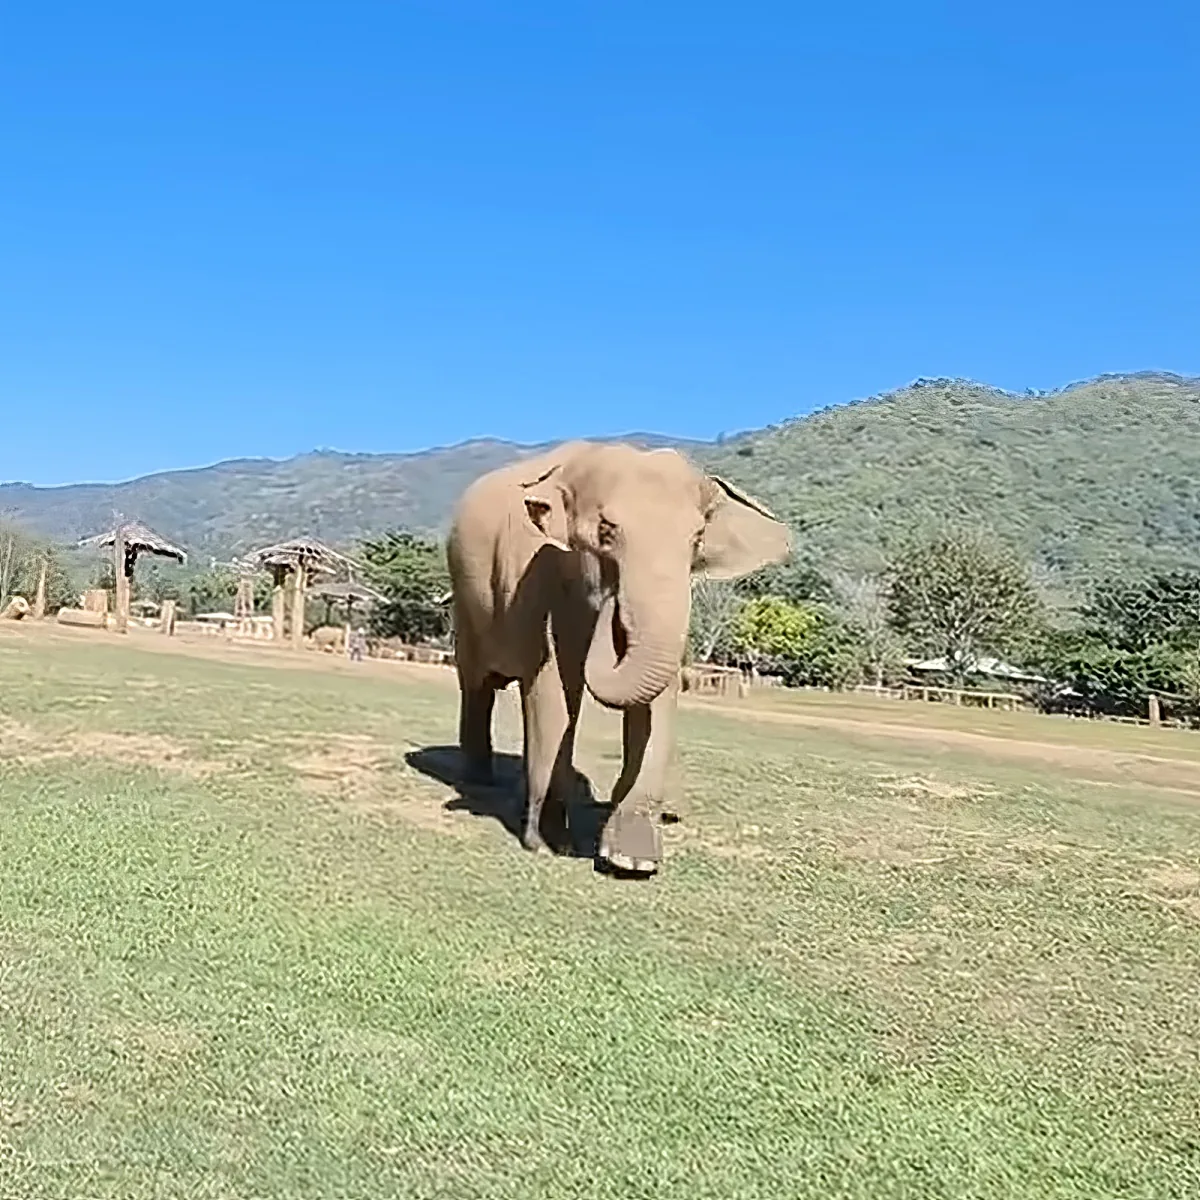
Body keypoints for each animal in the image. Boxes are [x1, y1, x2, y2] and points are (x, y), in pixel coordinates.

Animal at [446, 440, 790, 874]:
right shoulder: (536, 571)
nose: (613, 603)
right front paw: (548, 843)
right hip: (466, 599)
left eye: (697, 538)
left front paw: (632, 860)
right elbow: (553, 685)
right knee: (476, 683)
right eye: (606, 531)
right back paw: (478, 779)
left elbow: (657, 702)